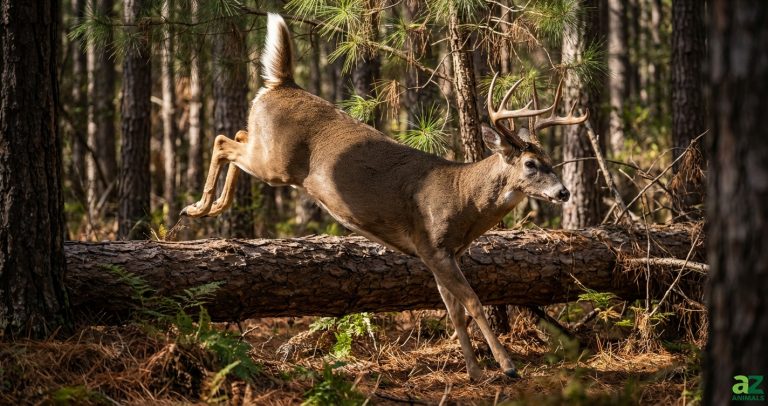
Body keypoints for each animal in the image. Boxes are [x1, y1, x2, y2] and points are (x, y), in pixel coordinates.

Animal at [181, 13, 588, 381]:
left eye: (552, 161)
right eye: (532, 164)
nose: (564, 191)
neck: (463, 199)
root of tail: (283, 83)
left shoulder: (443, 254)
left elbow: (455, 310)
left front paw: (474, 371)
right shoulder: (432, 244)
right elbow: (473, 302)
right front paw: (507, 367)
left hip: (267, 153)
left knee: (236, 134)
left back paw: (212, 205)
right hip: (275, 164)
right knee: (223, 141)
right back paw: (197, 206)